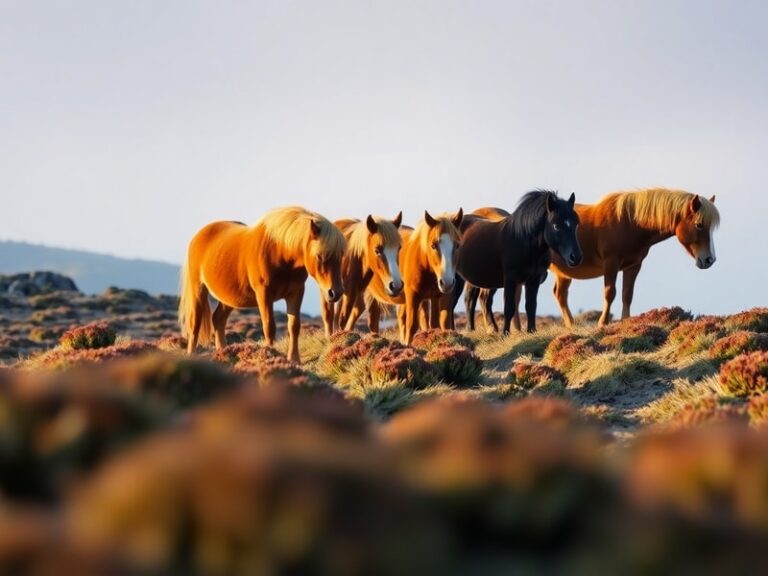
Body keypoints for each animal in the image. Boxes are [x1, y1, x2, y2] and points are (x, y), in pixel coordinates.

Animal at [179, 206, 346, 363]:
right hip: (198, 290)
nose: (335, 293)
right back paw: (192, 355)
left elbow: (294, 326)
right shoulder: (264, 294)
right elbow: (269, 327)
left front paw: (294, 360)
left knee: (218, 319)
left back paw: (223, 353)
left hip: (229, 299)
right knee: (194, 326)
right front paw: (270, 355)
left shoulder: (296, 292)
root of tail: (200, 235)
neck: (280, 252)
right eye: (320, 256)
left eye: (340, 257)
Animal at [451, 190, 582, 334]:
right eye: (556, 226)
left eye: (576, 223)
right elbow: (509, 307)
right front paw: (505, 333)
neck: (523, 241)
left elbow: (531, 306)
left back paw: (472, 329)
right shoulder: (511, 278)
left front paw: (531, 331)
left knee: (470, 300)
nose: (575, 257)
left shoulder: (534, 280)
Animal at [549, 188, 719, 327]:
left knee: (560, 295)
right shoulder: (611, 263)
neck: (629, 223)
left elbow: (627, 295)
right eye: (699, 225)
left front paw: (626, 322)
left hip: (563, 273)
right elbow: (610, 293)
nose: (709, 260)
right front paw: (603, 323)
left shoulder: (633, 265)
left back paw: (571, 326)